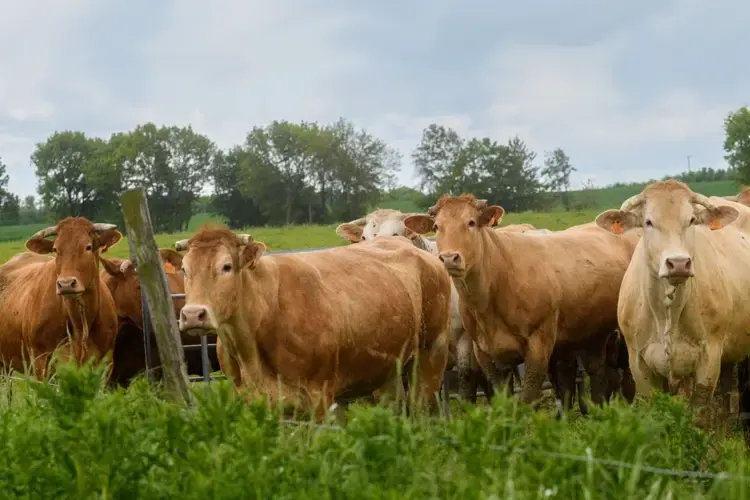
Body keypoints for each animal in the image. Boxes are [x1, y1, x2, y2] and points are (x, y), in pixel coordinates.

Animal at [0, 218, 121, 378]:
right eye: (56, 249)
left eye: (88, 247)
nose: (66, 284)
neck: (80, 325)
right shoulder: (40, 360)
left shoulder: (107, 361)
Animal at [175, 227, 452, 418]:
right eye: (184, 269)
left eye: (226, 266)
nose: (193, 314)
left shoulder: (319, 397)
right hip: (387, 371)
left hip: (431, 356)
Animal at [402, 193, 644, 408]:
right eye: (436, 227)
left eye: (470, 222)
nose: (449, 258)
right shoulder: (485, 354)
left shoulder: (539, 346)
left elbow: (528, 399)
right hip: (589, 337)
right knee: (591, 378)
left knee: (620, 380)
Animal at [600, 180, 750, 426]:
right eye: (648, 222)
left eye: (691, 220)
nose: (679, 263)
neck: (666, 313)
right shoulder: (639, 364)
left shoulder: (708, 361)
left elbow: (698, 417)